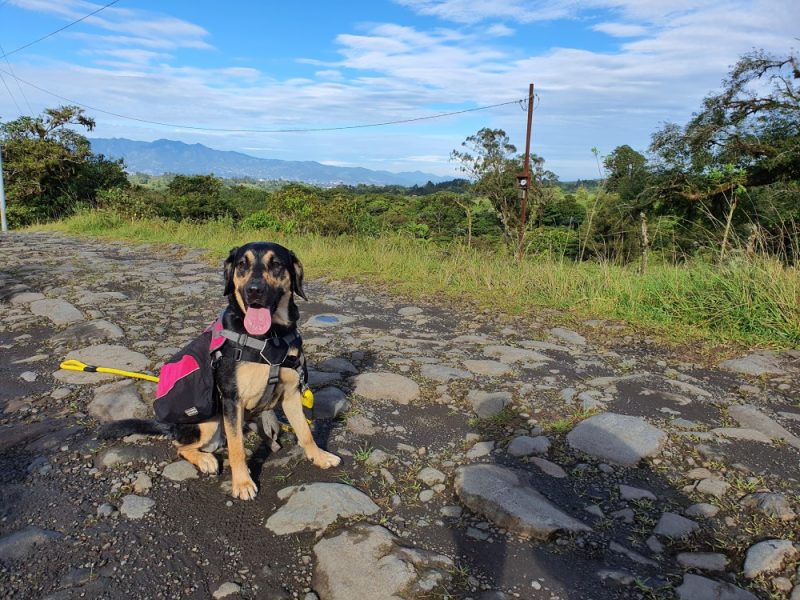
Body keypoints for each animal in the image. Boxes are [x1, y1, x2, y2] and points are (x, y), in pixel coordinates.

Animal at [99, 241, 338, 500]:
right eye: (242, 264)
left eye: (276, 264)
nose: (254, 290)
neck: (270, 337)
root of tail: (171, 425)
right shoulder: (232, 399)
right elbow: (237, 449)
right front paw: (242, 483)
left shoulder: (292, 394)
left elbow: (305, 432)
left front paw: (319, 456)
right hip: (209, 423)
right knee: (181, 446)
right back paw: (205, 460)